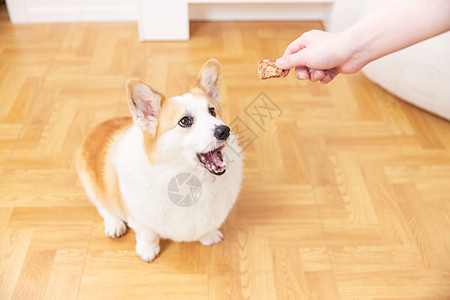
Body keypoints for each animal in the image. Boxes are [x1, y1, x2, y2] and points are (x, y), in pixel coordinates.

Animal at [76, 59, 243, 262]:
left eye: (212, 111)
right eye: (185, 121)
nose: (224, 130)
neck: (190, 179)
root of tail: (95, 129)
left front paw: (209, 236)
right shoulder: (140, 219)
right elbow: (147, 235)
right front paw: (148, 251)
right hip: (90, 185)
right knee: (103, 207)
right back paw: (114, 224)